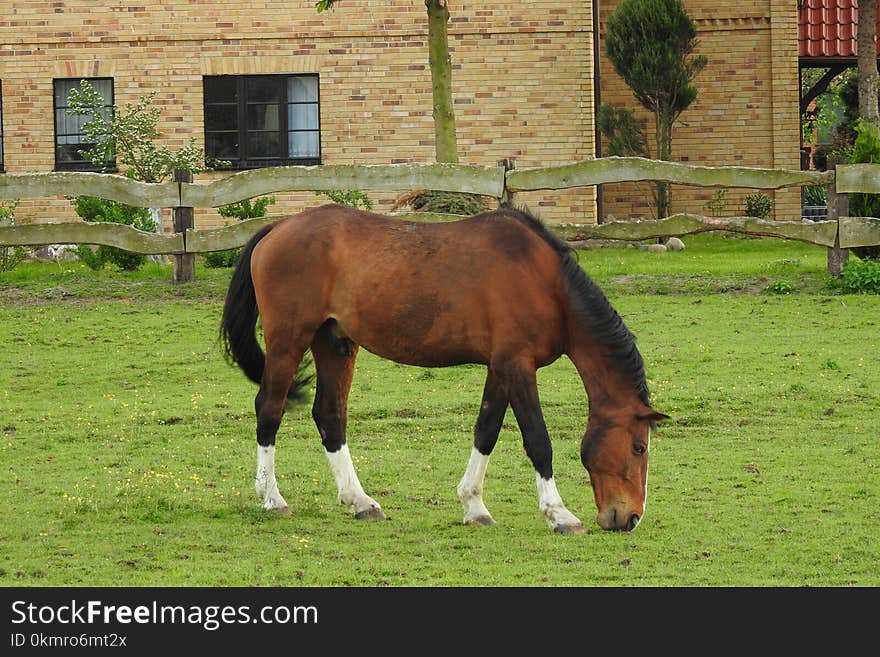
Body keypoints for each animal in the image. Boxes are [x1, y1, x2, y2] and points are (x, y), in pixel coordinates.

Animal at [220, 204, 668, 532]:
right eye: (638, 446)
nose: (630, 518)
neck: (545, 282)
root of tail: (277, 228)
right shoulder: (518, 366)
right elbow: (538, 440)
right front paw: (559, 514)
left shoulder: (501, 367)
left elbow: (486, 431)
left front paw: (474, 506)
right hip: (288, 340)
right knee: (269, 408)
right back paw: (272, 498)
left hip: (334, 343)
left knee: (330, 416)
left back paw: (360, 501)